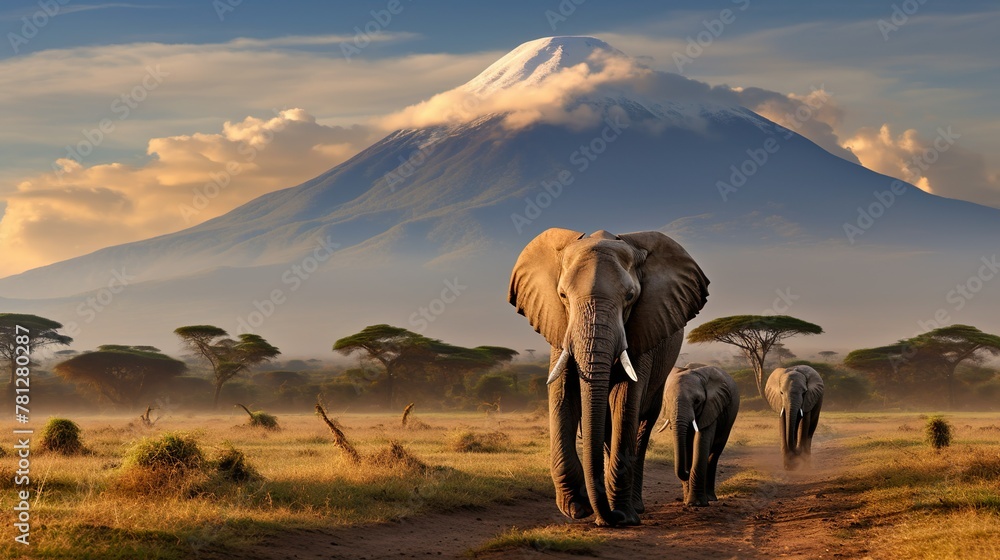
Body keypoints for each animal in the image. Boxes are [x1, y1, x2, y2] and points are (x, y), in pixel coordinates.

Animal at [508, 228, 709, 526]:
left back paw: (633, 508)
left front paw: (621, 516)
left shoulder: (643, 328)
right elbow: (562, 394)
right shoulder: (559, 325)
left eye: (630, 296)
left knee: (641, 423)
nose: (608, 517)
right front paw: (576, 509)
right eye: (562, 295)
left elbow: (626, 400)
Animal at [657, 363, 739, 506]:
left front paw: (697, 503)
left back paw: (710, 498)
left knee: (715, 453)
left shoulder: (711, 407)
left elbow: (701, 441)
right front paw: (687, 502)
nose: (686, 471)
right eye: (666, 400)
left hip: (729, 421)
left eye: (697, 401)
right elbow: (687, 444)